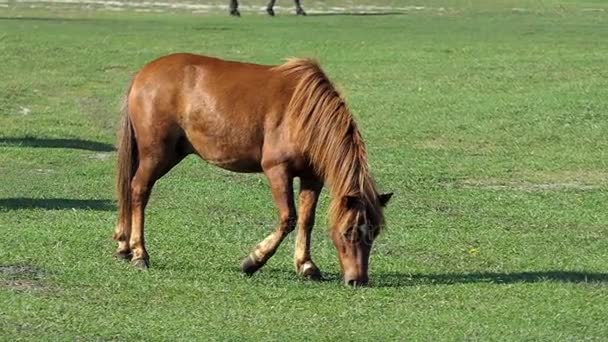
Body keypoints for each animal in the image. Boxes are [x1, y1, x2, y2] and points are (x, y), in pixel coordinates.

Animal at [111, 52, 392, 284]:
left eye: (375, 232)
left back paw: (124, 246)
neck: (304, 114)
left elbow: (306, 220)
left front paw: (306, 265)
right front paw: (253, 261)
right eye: (348, 232)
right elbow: (288, 218)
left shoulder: (312, 177)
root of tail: (144, 74)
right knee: (138, 190)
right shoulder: (277, 170)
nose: (358, 280)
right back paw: (139, 253)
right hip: (155, 154)